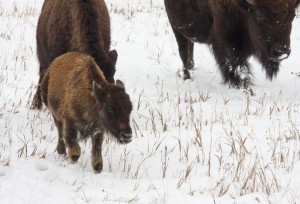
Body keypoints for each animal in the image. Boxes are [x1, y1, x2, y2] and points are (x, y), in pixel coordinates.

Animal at [165, 0, 298, 91]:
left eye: (292, 16)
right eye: (260, 17)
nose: (281, 51)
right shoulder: (226, 44)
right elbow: (237, 67)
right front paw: (245, 89)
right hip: (178, 31)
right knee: (184, 53)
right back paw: (187, 77)